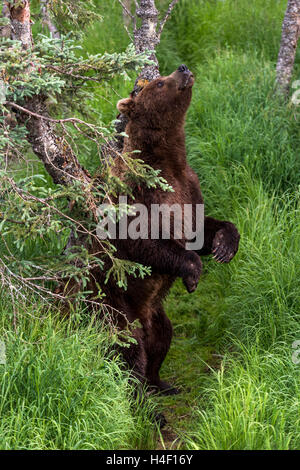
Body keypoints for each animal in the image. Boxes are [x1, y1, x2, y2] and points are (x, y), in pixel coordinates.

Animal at [85, 66, 241, 396]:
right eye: (158, 82)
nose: (183, 69)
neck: (167, 162)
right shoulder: (136, 194)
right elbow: (145, 242)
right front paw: (193, 274)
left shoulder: (188, 188)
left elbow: (201, 230)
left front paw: (224, 245)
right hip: (113, 306)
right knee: (126, 354)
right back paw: (142, 400)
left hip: (155, 314)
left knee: (162, 338)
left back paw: (161, 382)